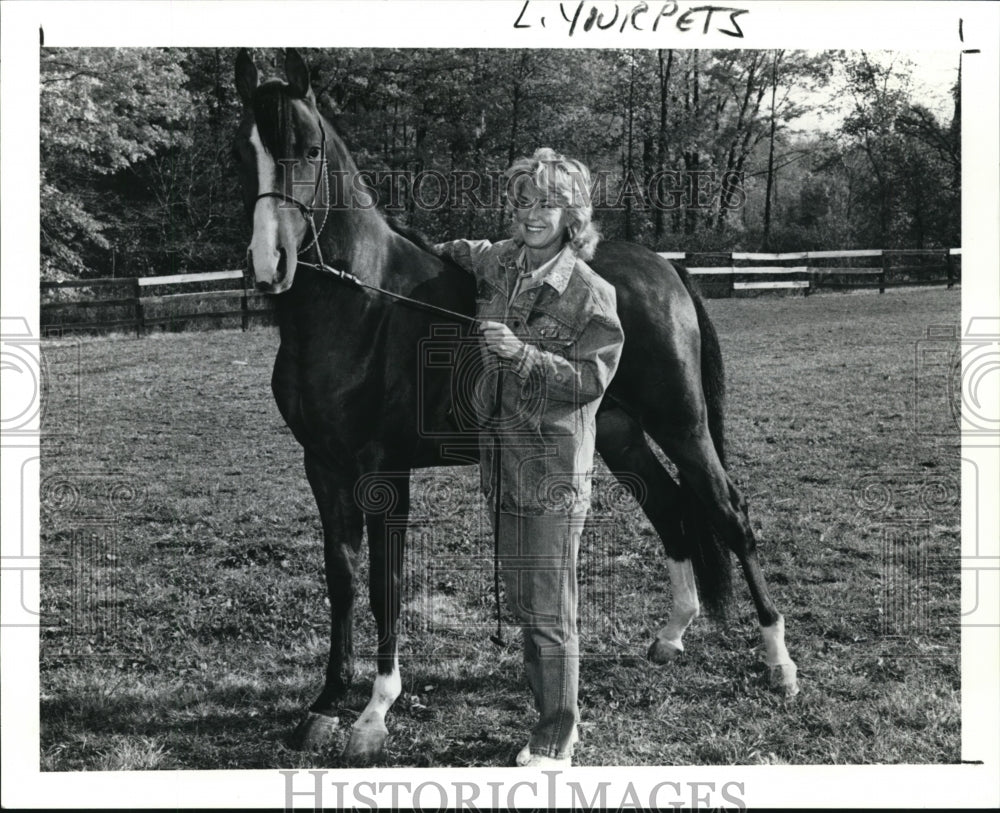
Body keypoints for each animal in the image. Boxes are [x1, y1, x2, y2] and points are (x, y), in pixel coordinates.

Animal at [232, 49, 796, 760]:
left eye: (309, 149)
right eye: (241, 152)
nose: (269, 264)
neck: (363, 304)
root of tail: (665, 268)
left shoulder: (384, 474)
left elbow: (386, 583)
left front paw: (375, 712)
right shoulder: (324, 468)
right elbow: (343, 580)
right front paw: (326, 701)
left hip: (682, 425)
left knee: (730, 513)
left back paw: (779, 662)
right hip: (620, 432)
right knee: (671, 510)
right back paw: (671, 637)